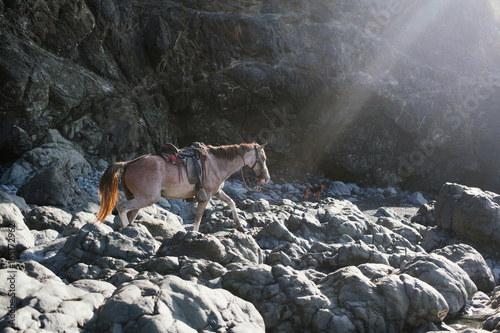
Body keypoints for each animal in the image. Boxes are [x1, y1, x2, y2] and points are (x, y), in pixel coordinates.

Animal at [96, 142, 272, 231]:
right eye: (263, 158)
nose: (266, 178)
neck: (215, 163)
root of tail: (128, 163)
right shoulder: (206, 196)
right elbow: (198, 219)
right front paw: (194, 236)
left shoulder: (216, 192)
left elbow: (231, 202)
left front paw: (239, 224)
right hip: (147, 198)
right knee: (121, 207)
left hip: (138, 198)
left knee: (129, 212)